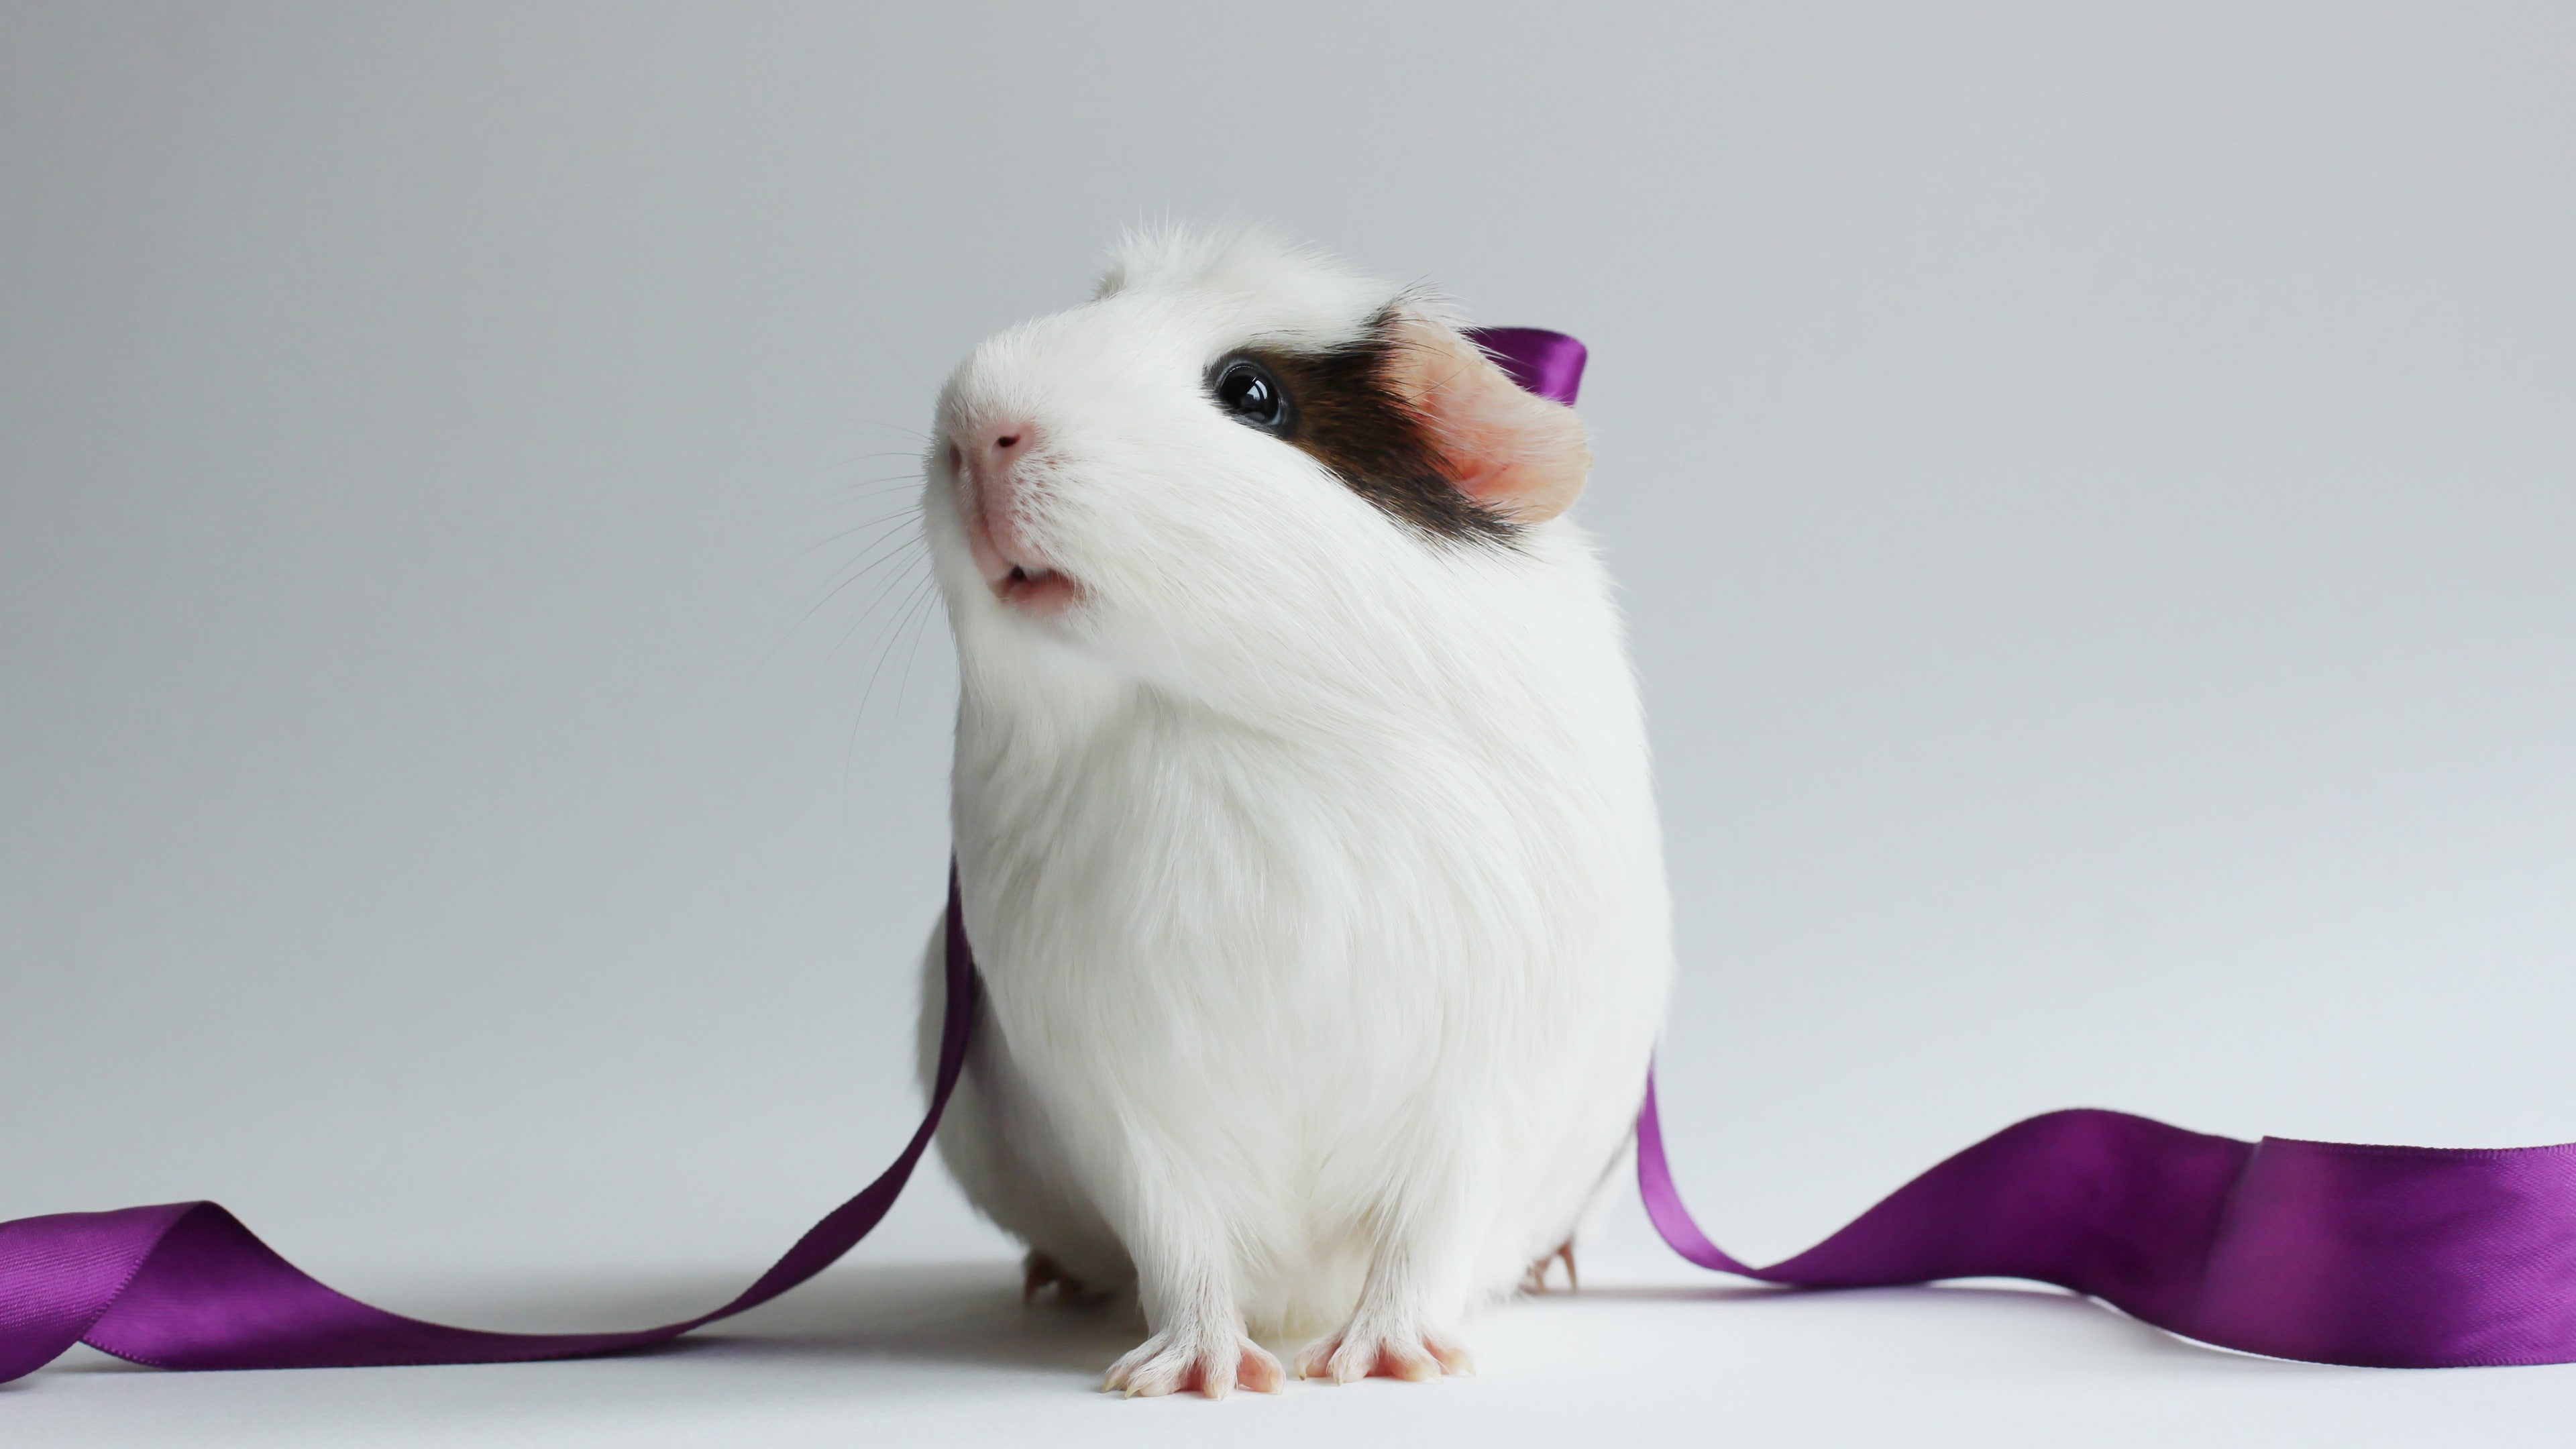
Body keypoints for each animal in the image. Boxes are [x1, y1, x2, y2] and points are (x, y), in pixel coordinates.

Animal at [912, 229, 1671, 1397]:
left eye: (1251, 393)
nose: (971, 423)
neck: (1228, 732)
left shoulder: (1480, 1088)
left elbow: (1425, 1236)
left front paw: (1384, 1365)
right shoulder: (1126, 1097)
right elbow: (1181, 1245)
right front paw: (1193, 1376)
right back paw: (1057, 1282)